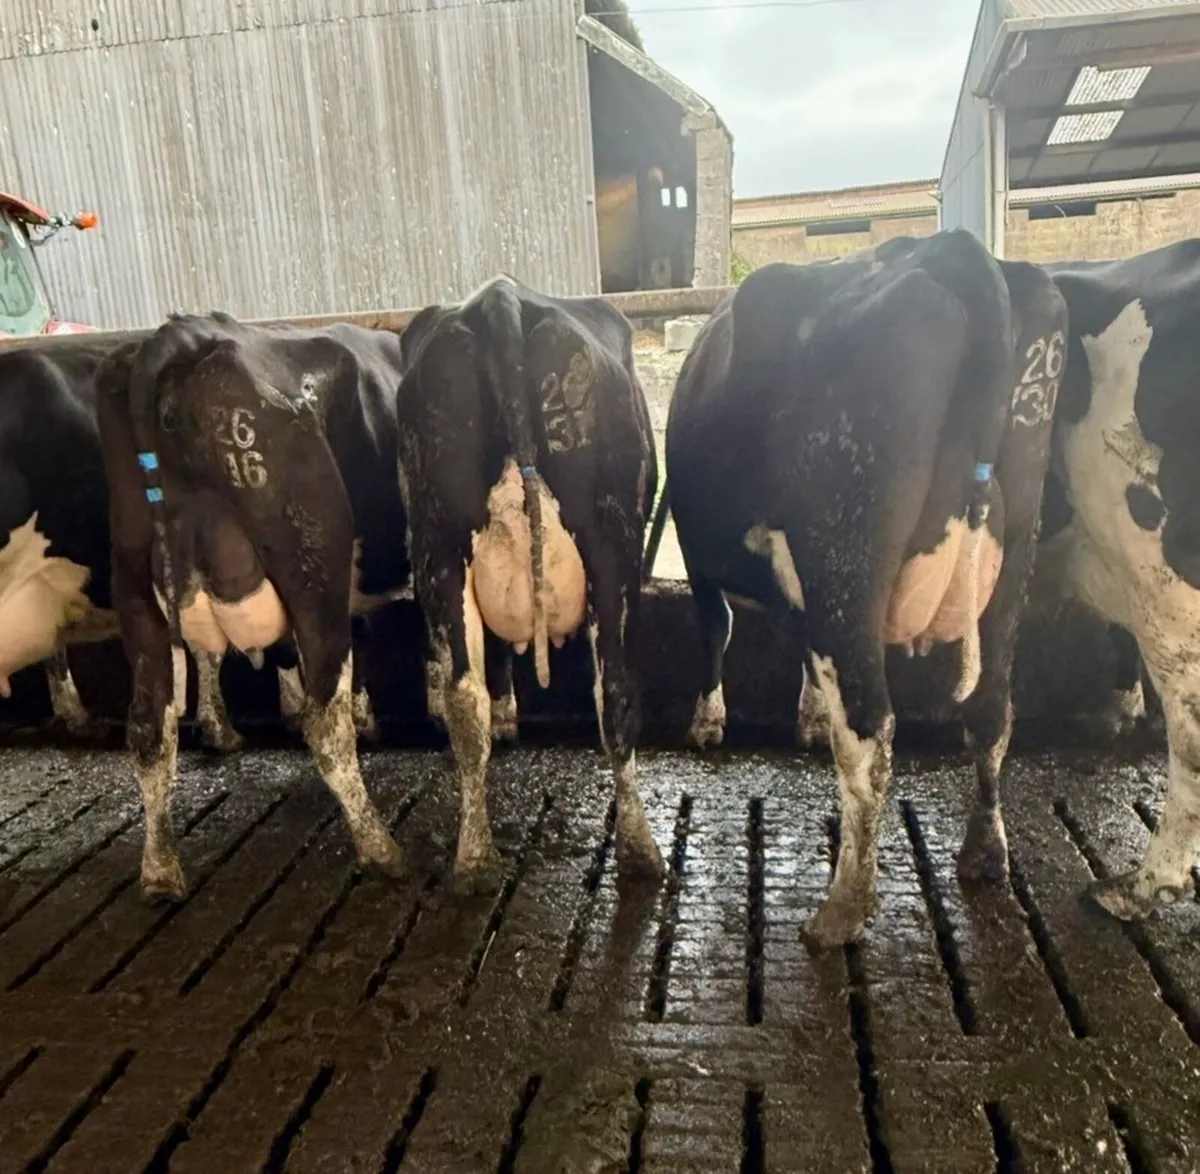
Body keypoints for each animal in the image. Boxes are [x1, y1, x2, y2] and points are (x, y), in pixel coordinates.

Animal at [95, 312, 413, 900]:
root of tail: (180, 335)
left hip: (132, 581)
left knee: (149, 729)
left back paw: (160, 871)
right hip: (313, 562)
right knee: (323, 722)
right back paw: (381, 849)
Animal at [395, 275, 662, 892]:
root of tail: (501, 298)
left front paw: (507, 715)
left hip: (438, 545)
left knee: (465, 702)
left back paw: (473, 862)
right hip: (612, 541)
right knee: (617, 692)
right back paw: (642, 855)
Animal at [663, 230, 1067, 948]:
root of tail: (953, 250)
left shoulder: (697, 550)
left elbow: (716, 628)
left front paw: (709, 721)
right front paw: (804, 714)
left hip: (844, 549)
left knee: (870, 731)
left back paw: (842, 907)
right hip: (1014, 545)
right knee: (992, 711)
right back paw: (984, 853)